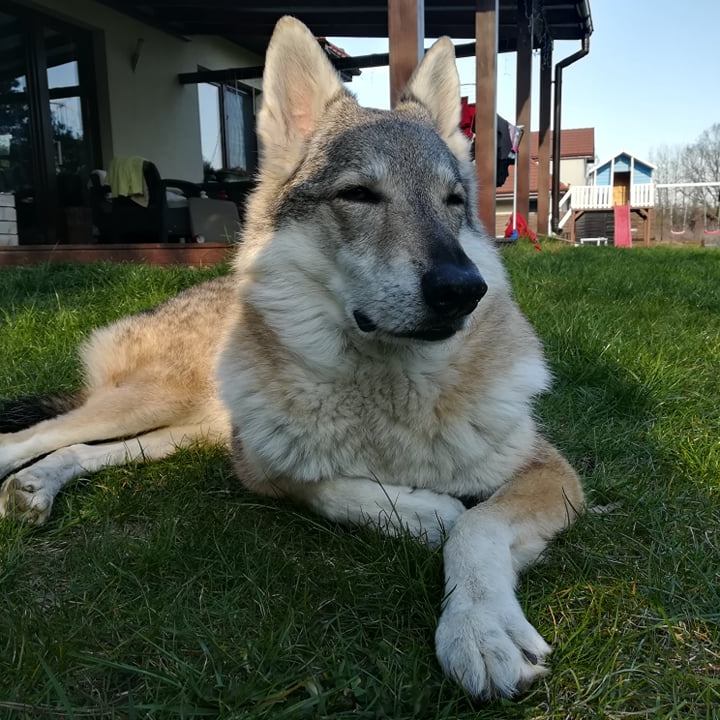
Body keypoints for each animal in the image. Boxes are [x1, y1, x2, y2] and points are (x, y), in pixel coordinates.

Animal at [0, 17, 583, 699]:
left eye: (453, 202)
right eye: (359, 195)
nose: (464, 289)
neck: (386, 393)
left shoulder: (553, 472)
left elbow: (479, 527)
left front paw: (479, 629)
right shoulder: (259, 467)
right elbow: (353, 493)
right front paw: (429, 514)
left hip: (186, 432)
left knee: (84, 452)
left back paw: (38, 485)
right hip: (153, 405)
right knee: (33, 435)